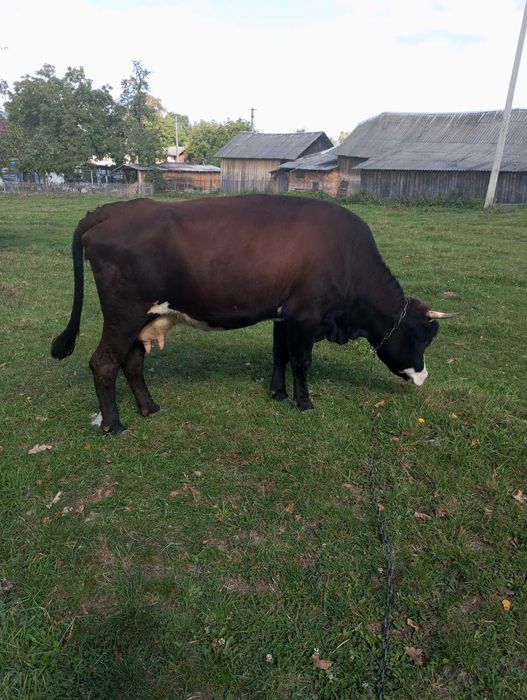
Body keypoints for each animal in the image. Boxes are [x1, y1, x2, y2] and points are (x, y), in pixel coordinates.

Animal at [51, 195, 455, 434]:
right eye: (423, 338)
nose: (423, 377)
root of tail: (113, 209)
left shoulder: (283, 315)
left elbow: (280, 355)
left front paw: (277, 393)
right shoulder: (305, 316)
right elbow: (301, 361)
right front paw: (304, 402)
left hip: (141, 318)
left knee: (132, 361)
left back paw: (150, 408)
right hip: (124, 313)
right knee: (104, 363)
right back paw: (114, 425)